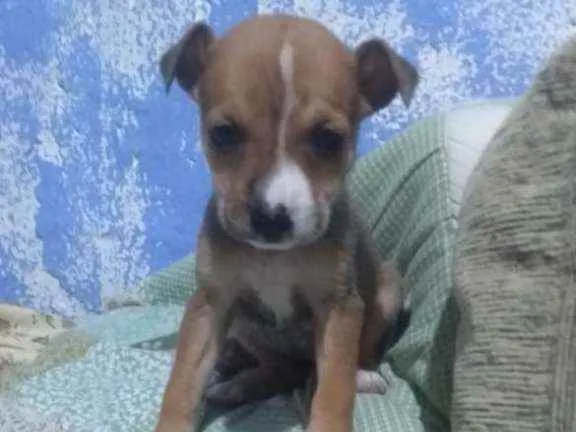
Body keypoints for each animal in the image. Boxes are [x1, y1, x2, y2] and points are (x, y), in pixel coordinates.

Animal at [155, 14, 418, 432]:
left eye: (328, 140)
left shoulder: (339, 309)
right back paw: (237, 378)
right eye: (223, 134)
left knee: (339, 364)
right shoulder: (211, 302)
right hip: (245, 323)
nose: (270, 217)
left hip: (389, 291)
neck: (274, 257)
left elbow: (334, 389)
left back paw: (361, 375)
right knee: (282, 369)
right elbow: (182, 383)